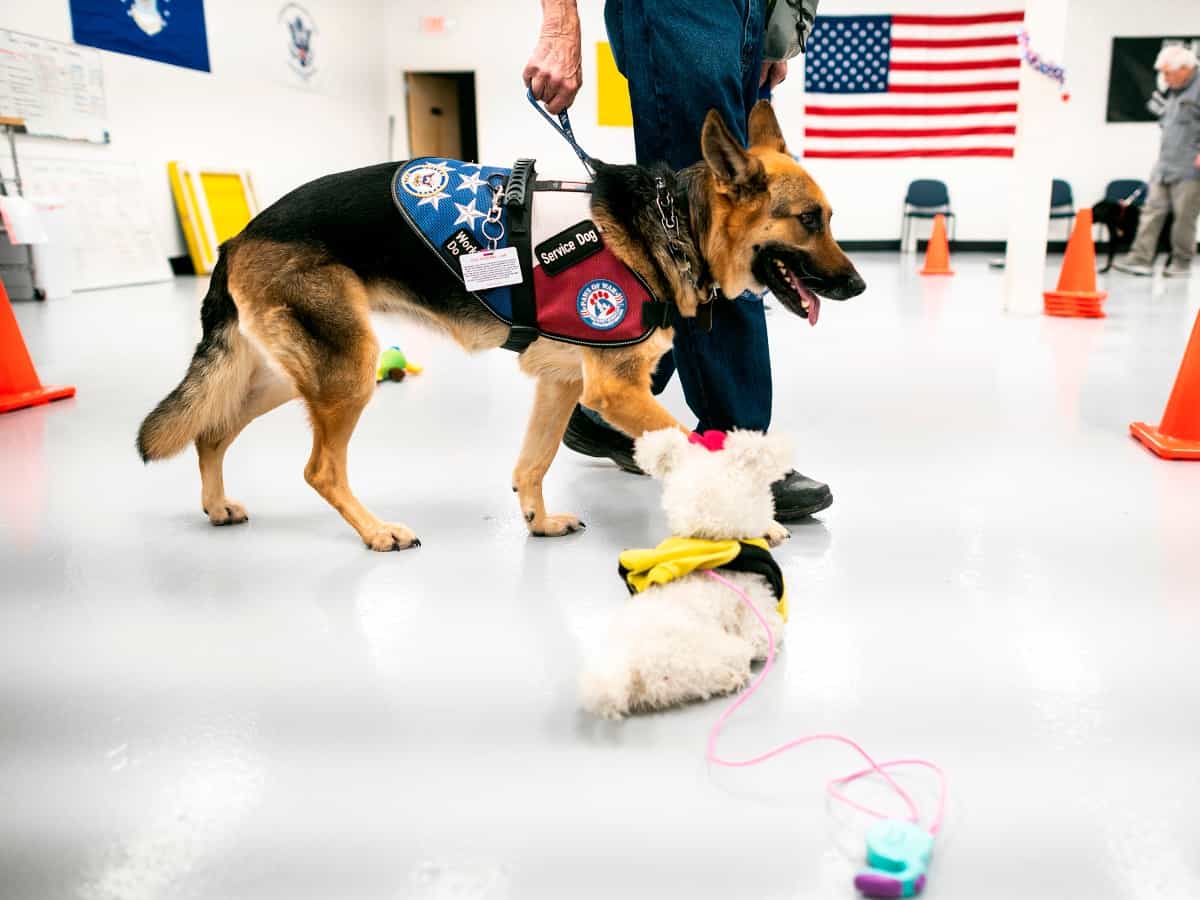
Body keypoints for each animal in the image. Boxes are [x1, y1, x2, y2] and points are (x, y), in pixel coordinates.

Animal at [138, 100, 864, 549]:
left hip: (298, 373)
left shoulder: (562, 383)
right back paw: (376, 532)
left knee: (211, 428)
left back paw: (217, 505)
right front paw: (752, 523)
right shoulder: (614, 389)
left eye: (829, 218)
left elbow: (533, 462)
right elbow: (691, 446)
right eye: (809, 221)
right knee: (319, 469)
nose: (857, 286)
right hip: (348, 371)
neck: (671, 223)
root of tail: (238, 235)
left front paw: (537, 523)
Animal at [580, 427, 796, 720]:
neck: (708, 539)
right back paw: (734, 677)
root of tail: (628, 671)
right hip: (715, 655)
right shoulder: (755, 603)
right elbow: (765, 635)